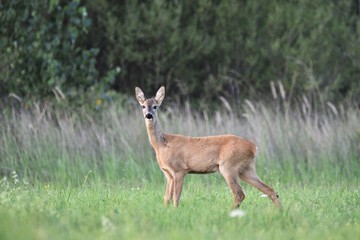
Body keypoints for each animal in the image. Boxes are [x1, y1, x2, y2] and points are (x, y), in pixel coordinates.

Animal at [135, 86, 282, 208]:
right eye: (143, 106)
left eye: (155, 106)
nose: (149, 115)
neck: (162, 145)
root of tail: (253, 147)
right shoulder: (168, 174)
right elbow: (166, 198)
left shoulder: (179, 170)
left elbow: (176, 197)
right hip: (246, 169)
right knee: (270, 190)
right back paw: (279, 212)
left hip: (228, 166)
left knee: (239, 194)